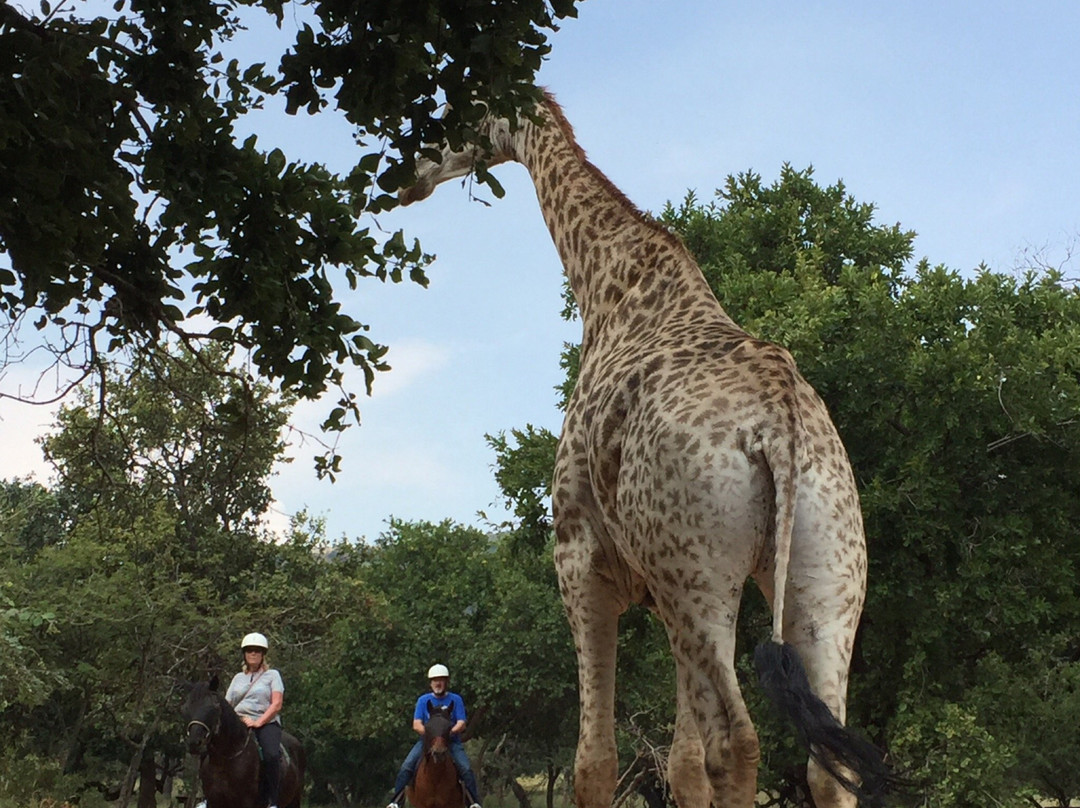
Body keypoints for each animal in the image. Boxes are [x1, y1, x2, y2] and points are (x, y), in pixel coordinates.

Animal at [181, 676, 305, 808]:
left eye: (212, 708)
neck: (224, 760)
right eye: (185, 709)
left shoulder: (246, 802)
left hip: (294, 800)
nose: (194, 743)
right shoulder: (214, 802)